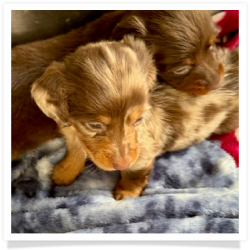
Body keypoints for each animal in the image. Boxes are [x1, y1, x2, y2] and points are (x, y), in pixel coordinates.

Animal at [30, 36, 237, 199]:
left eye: (138, 120)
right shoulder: (71, 133)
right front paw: (65, 171)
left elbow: (133, 172)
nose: (121, 163)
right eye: (95, 125)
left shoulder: (143, 152)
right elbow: (75, 150)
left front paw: (126, 192)